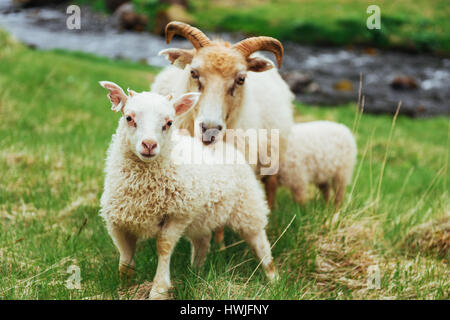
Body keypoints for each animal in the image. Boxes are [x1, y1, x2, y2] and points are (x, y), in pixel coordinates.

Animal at [97, 80, 278, 300]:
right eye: (129, 118)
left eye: (169, 123)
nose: (149, 145)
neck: (144, 188)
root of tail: (225, 146)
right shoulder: (118, 222)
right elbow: (125, 259)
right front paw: (124, 287)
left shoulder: (178, 214)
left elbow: (164, 246)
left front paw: (159, 290)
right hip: (204, 217)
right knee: (202, 243)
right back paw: (196, 273)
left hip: (247, 208)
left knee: (260, 243)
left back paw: (274, 279)